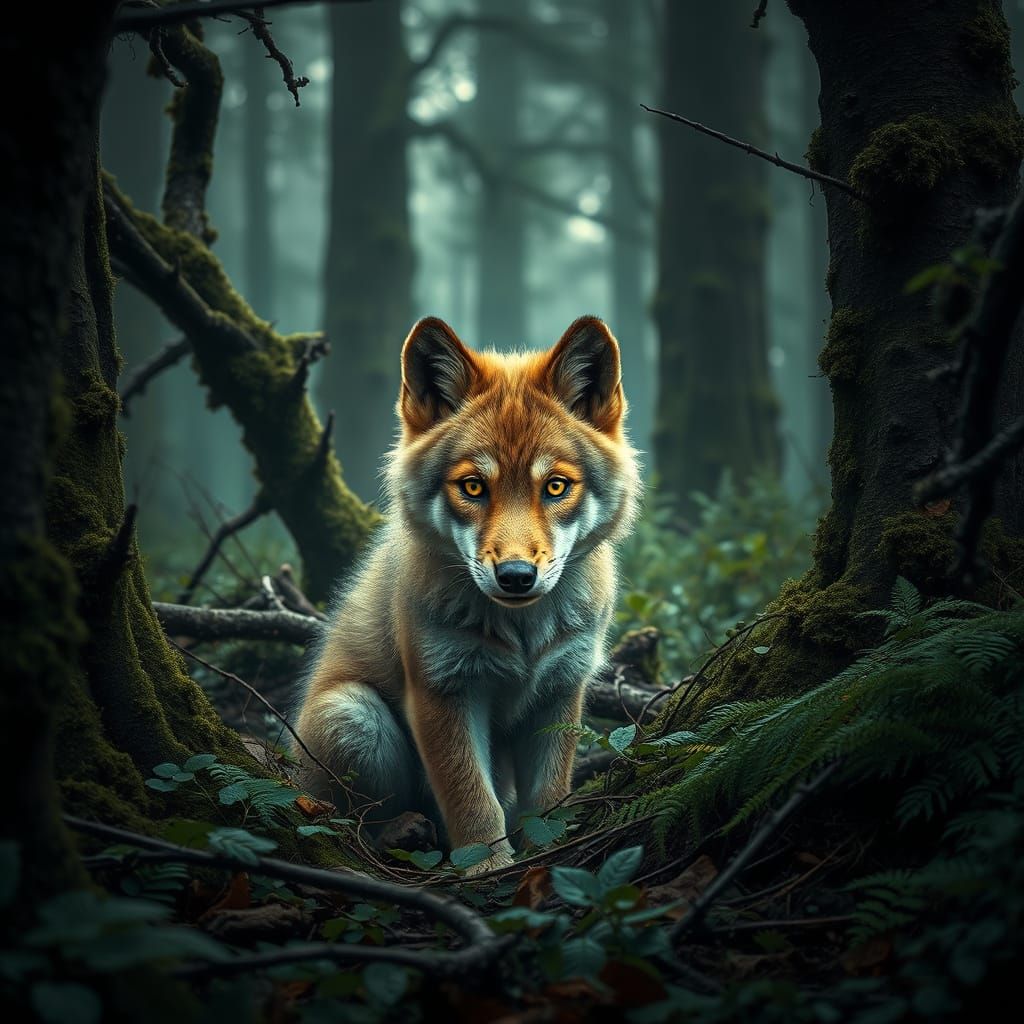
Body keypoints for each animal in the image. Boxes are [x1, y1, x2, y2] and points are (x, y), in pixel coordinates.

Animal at [295, 315, 640, 874]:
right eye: (473, 487)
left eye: (556, 487)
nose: (517, 576)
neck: (523, 637)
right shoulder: (444, 690)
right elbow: (474, 800)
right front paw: (489, 869)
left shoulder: (561, 688)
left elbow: (547, 799)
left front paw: (545, 857)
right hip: (353, 714)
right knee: (342, 821)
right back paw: (400, 833)